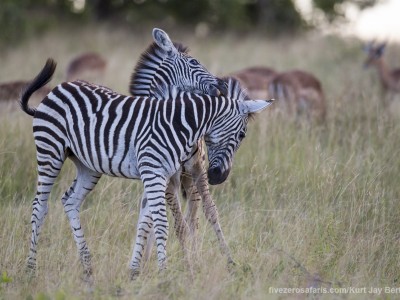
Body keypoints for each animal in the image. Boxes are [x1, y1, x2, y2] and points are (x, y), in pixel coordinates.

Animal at [20, 58, 274, 278]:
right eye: (242, 135)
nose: (218, 177)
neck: (181, 124)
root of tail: (61, 87)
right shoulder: (154, 172)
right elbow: (161, 223)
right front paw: (164, 274)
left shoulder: (162, 175)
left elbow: (147, 222)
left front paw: (139, 271)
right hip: (50, 150)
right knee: (39, 206)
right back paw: (31, 269)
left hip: (88, 166)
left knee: (70, 201)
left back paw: (88, 266)